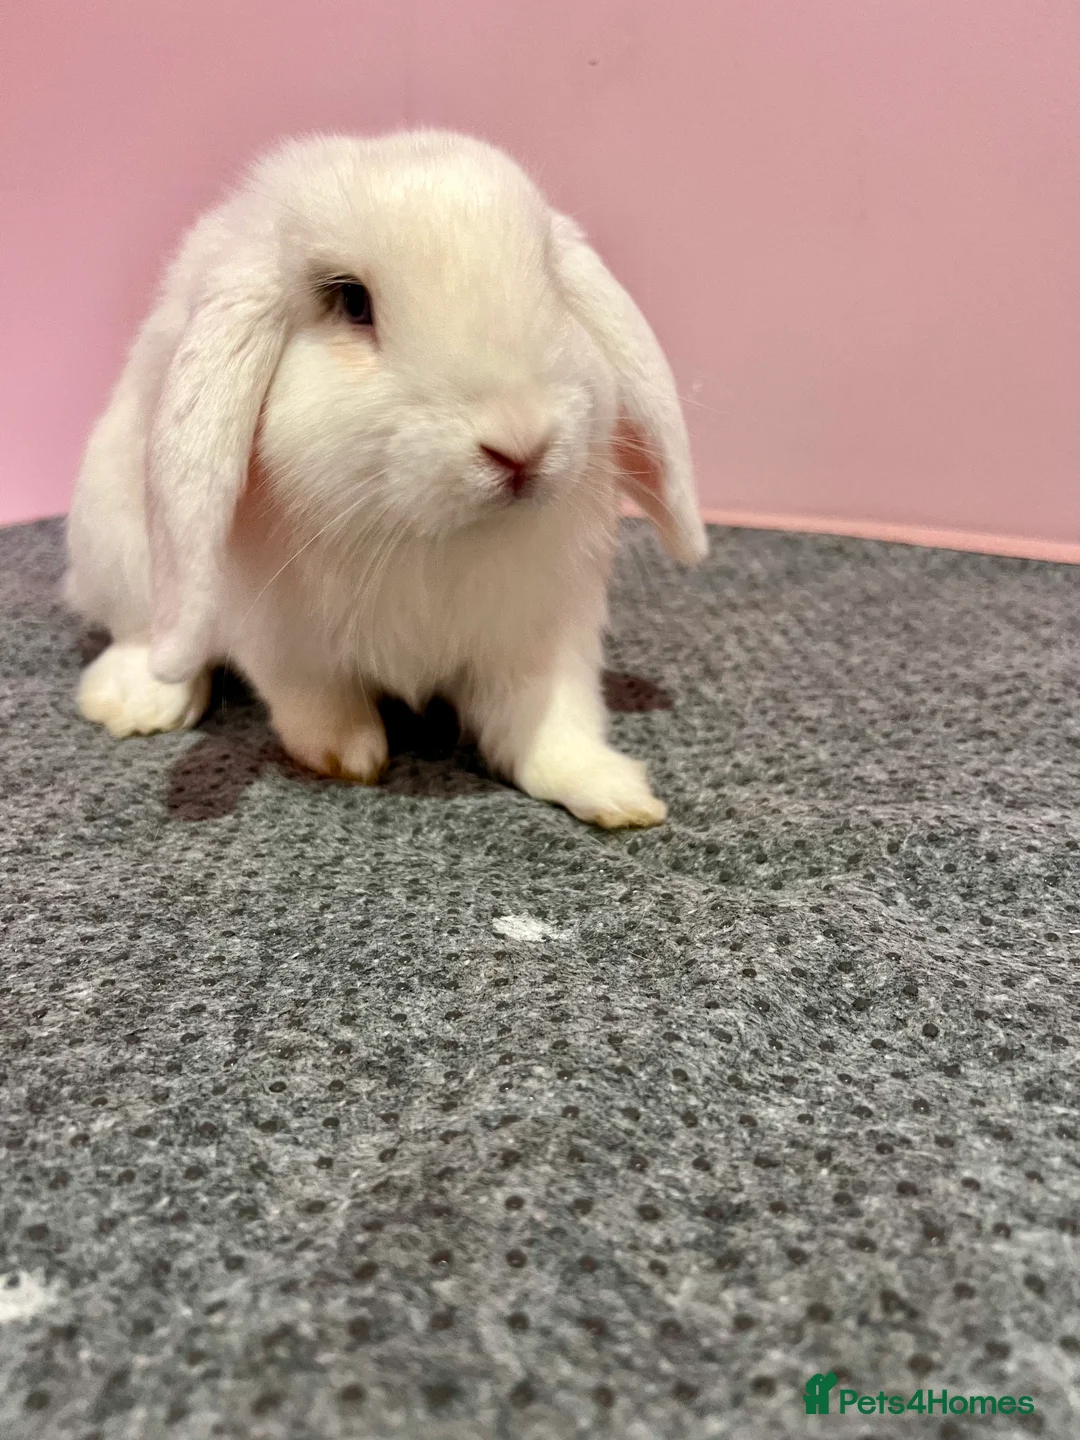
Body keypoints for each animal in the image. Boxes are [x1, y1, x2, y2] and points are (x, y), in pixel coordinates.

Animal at [65, 130, 706, 828]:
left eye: (553, 282)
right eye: (351, 301)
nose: (521, 446)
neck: (432, 537)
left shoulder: (538, 634)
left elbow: (548, 723)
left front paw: (617, 796)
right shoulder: (283, 638)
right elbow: (315, 700)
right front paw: (350, 757)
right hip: (126, 556)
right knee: (144, 635)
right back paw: (133, 705)